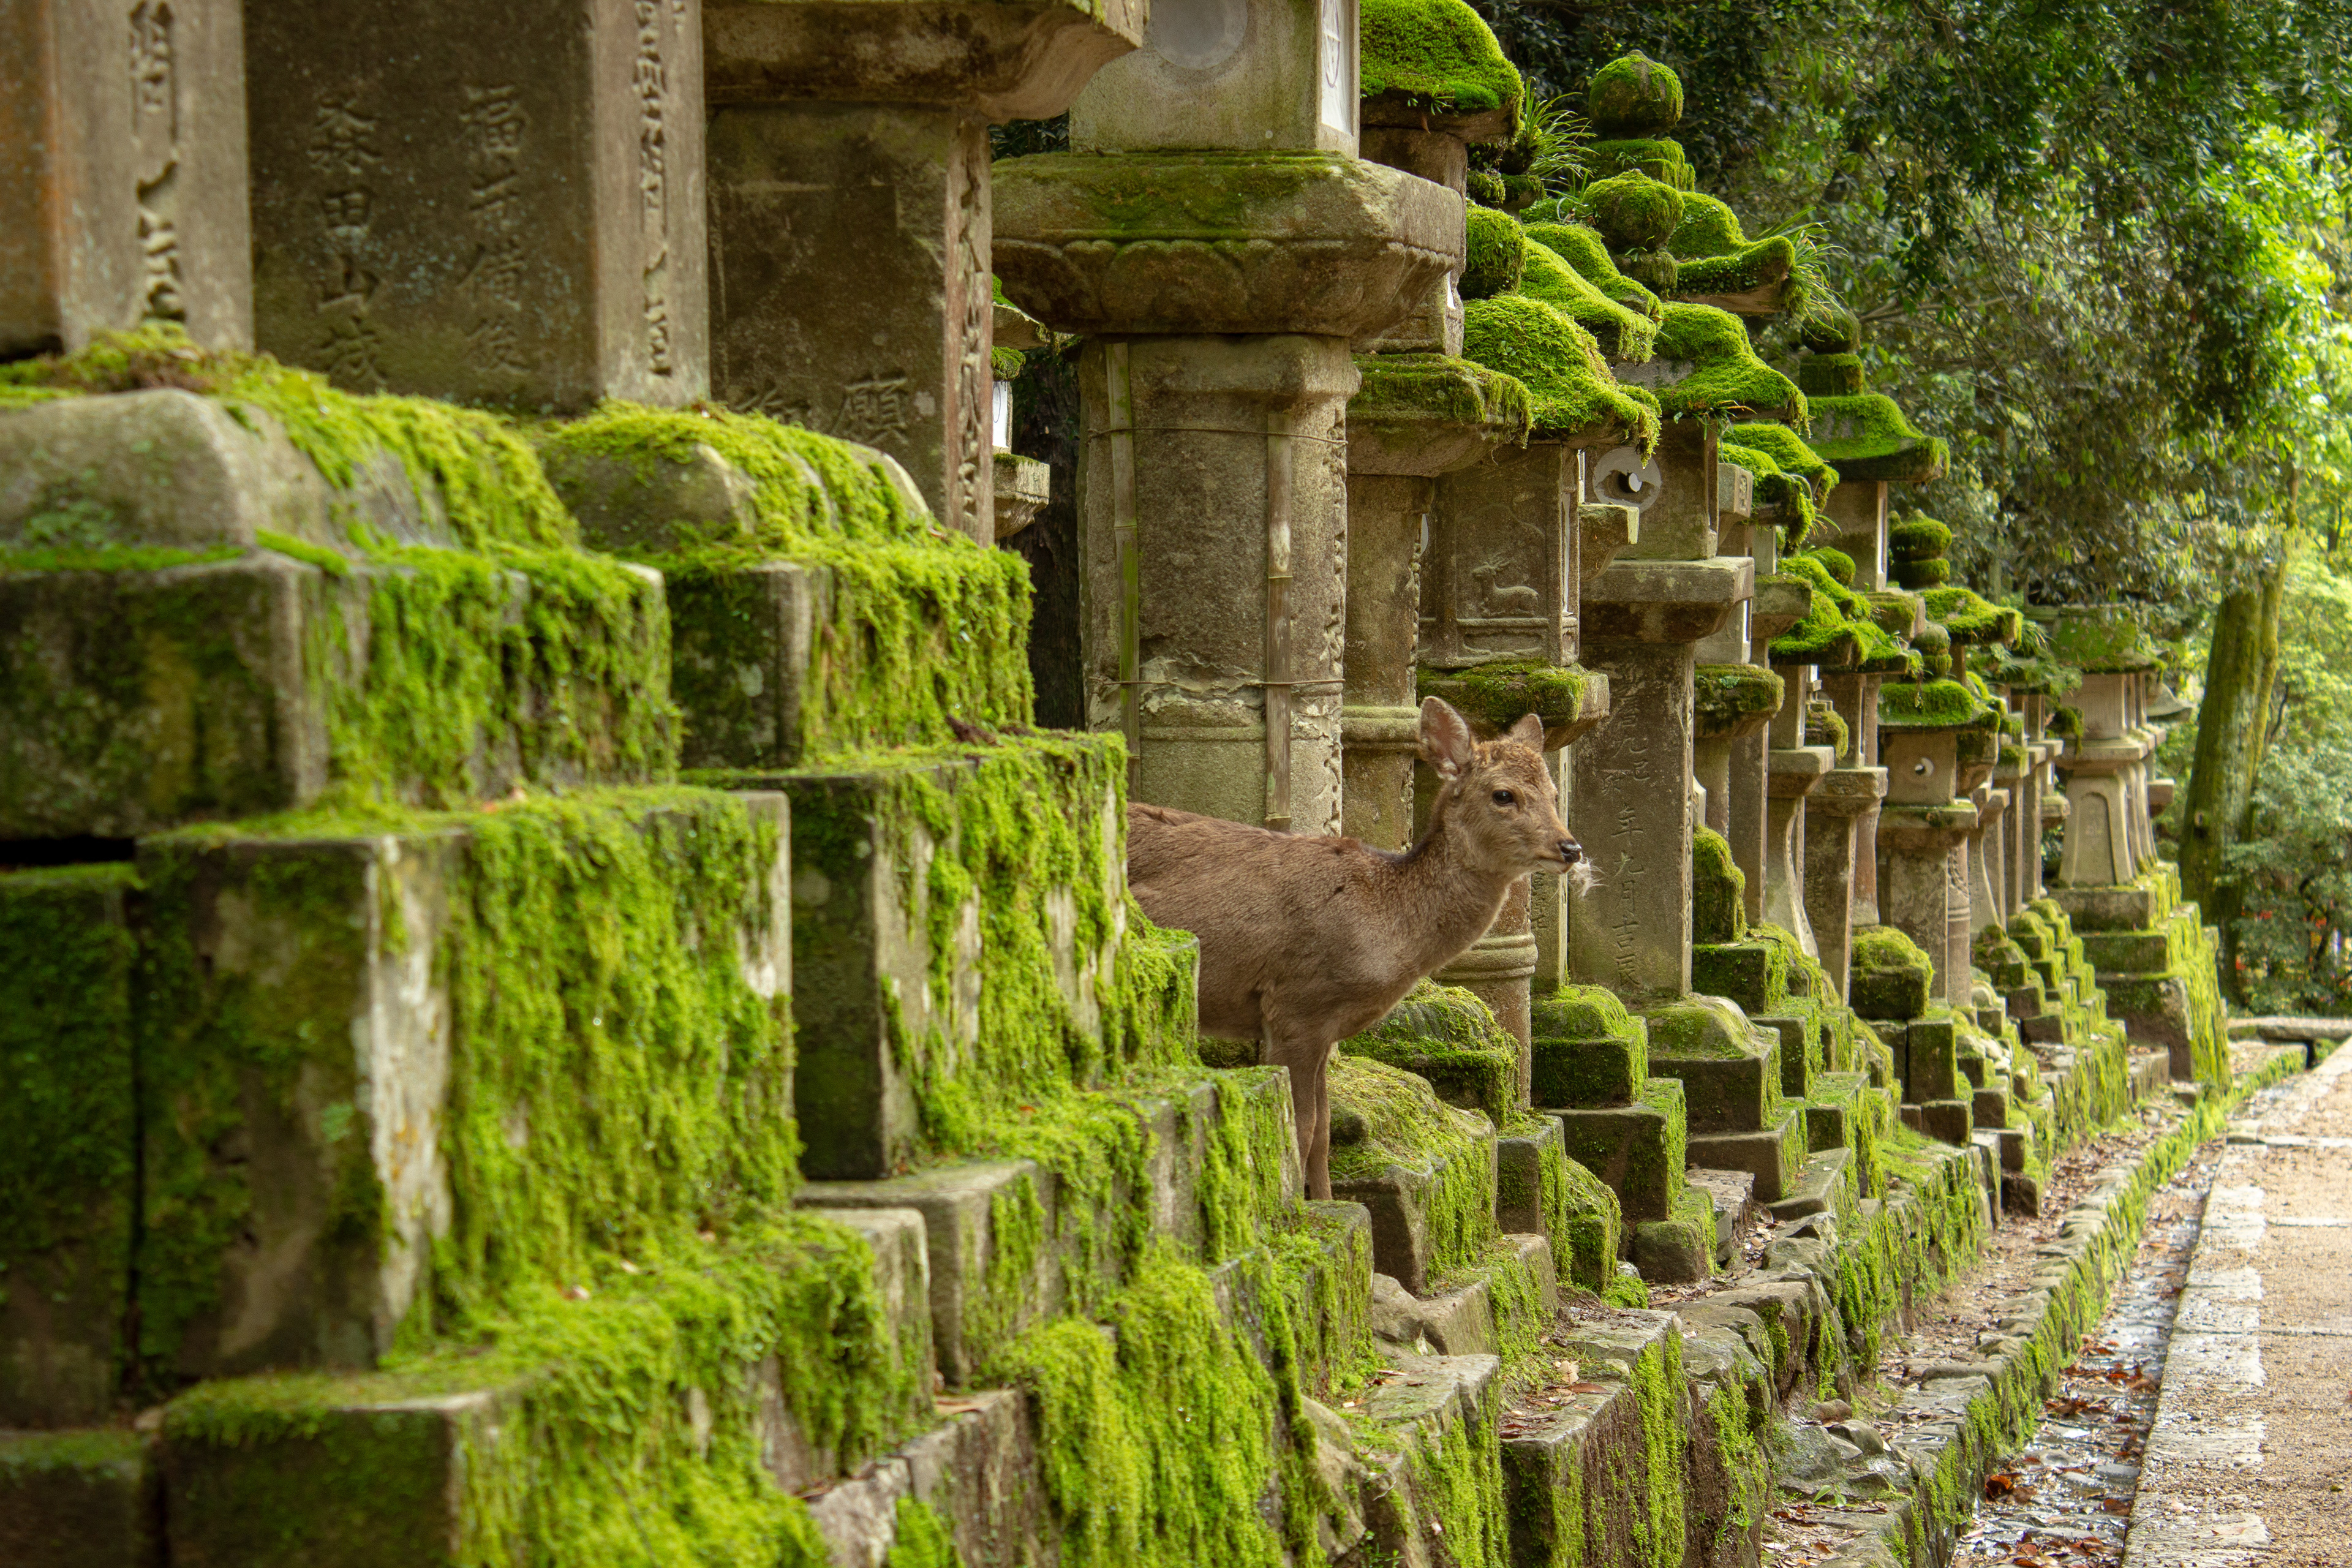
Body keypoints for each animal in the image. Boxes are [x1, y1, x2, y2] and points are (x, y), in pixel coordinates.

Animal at [1126, 697, 1585, 1199]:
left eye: (1555, 793)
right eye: (1504, 795)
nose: (1570, 848)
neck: (1383, 923)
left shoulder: (1324, 1027)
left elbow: (1324, 1131)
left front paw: (1327, 1202)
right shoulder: (1295, 1005)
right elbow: (1299, 1127)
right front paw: (1303, 1210)